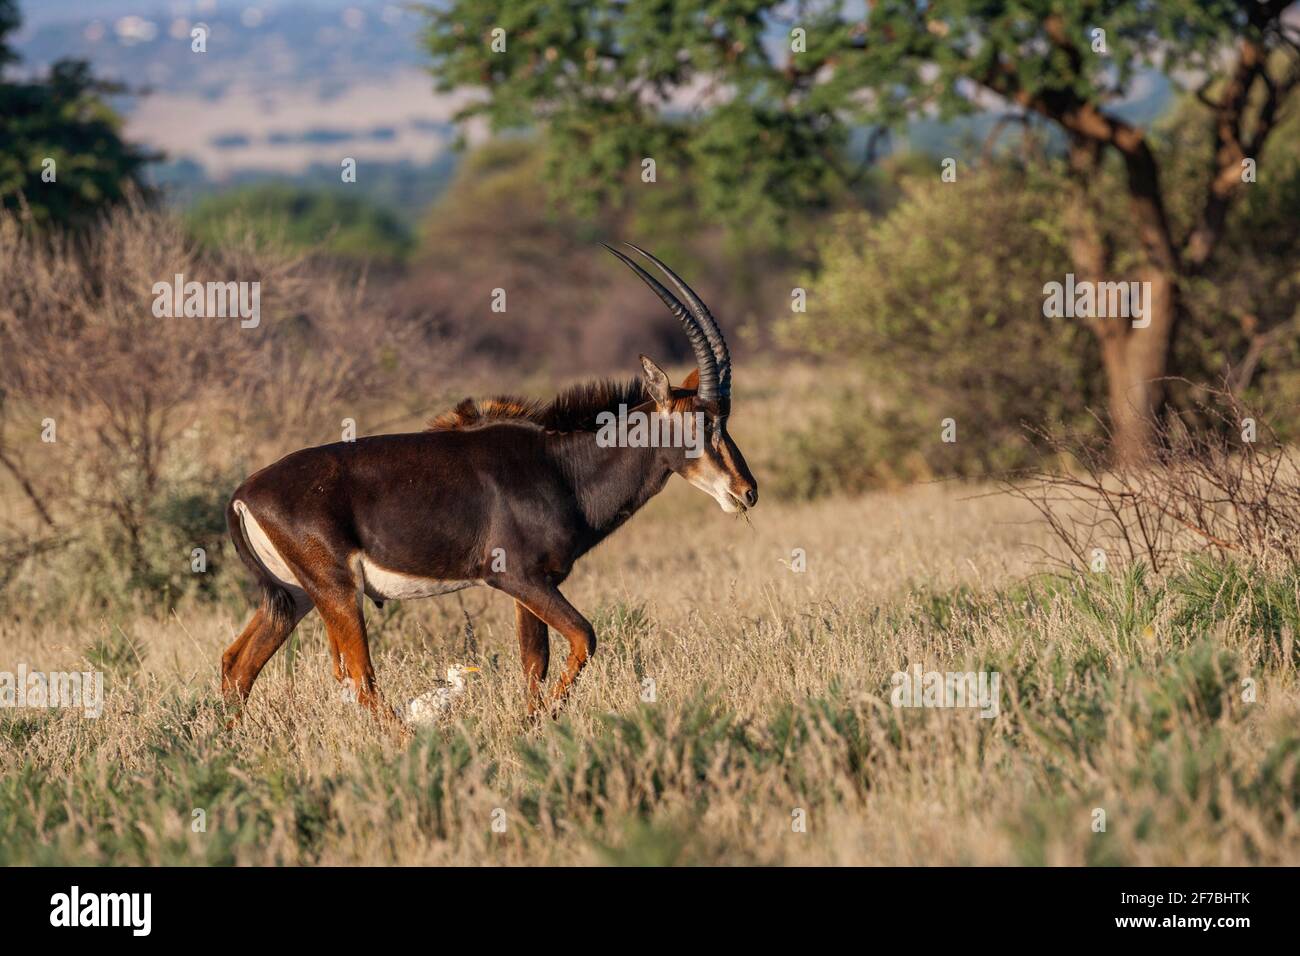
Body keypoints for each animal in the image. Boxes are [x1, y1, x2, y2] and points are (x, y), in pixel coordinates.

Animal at [219, 243, 759, 723]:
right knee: (359, 678)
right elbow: (584, 637)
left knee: (236, 665)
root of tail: (244, 494)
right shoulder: (517, 577)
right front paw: (535, 723)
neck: (561, 467)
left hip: (295, 596)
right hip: (336, 591)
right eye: (698, 424)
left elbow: (534, 662)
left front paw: (533, 726)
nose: (746, 492)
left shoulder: (538, 583)